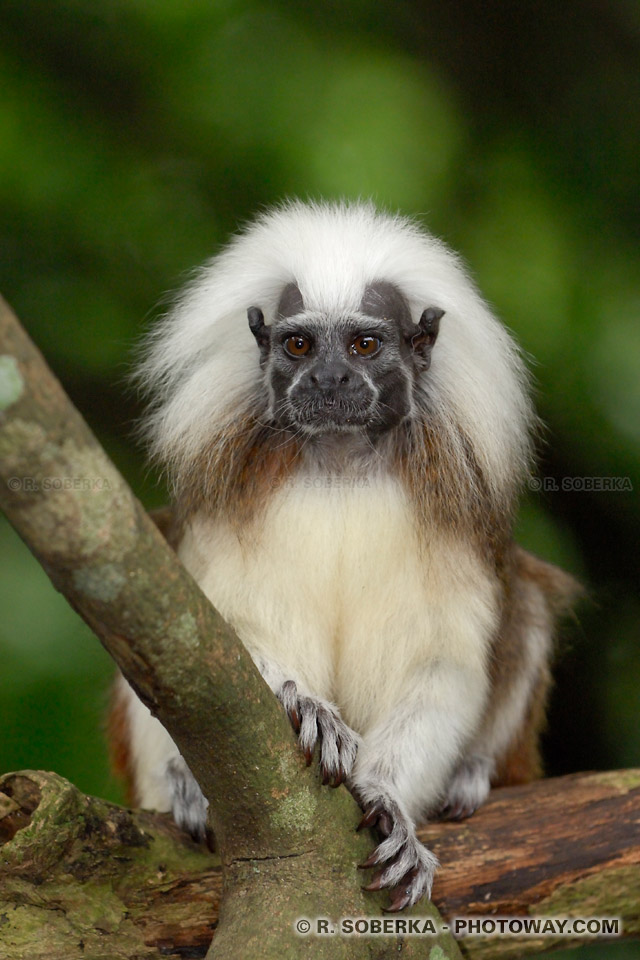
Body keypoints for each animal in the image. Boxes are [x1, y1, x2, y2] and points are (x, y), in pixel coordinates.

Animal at [110, 201, 580, 908]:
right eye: (299, 345)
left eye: (364, 345)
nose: (329, 379)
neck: (338, 458)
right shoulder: (224, 501)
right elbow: (205, 639)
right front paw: (304, 705)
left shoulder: (457, 517)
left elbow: (443, 666)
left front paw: (392, 804)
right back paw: (185, 784)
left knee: (523, 603)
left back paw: (471, 773)